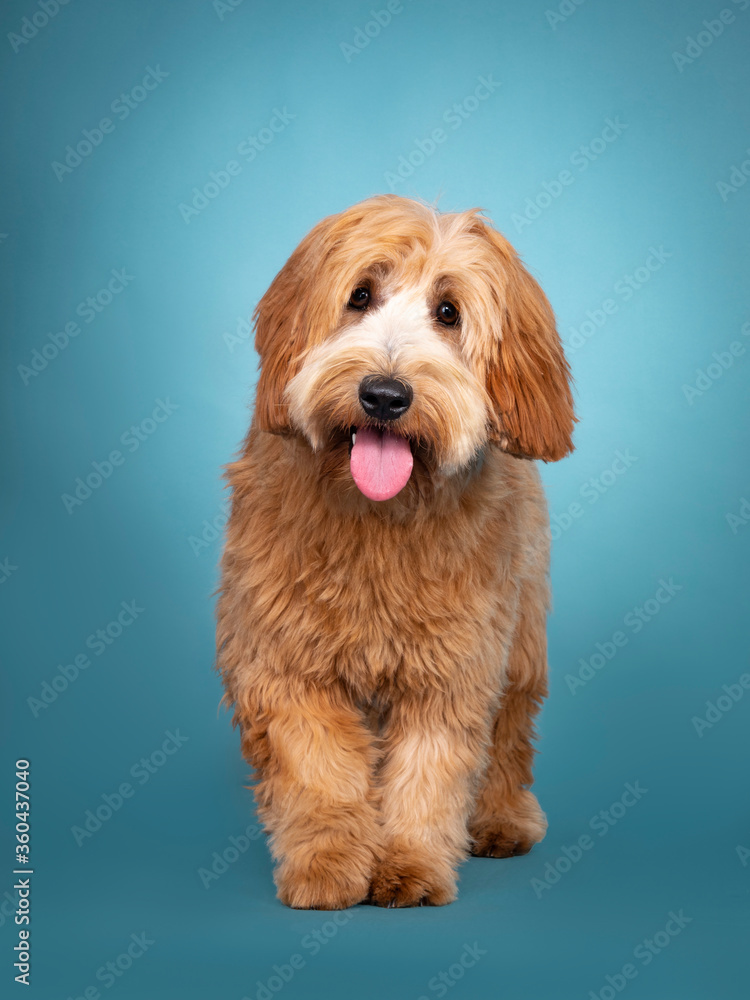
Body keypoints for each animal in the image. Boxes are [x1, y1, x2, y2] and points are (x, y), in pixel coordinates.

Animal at [216, 193, 576, 908]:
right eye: (359, 295)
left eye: (449, 312)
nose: (384, 394)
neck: (381, 515)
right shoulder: (286, 662)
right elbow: (318, 768)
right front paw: (328, 865)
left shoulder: (452, 669)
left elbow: (427, 774)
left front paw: (409, 863)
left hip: (523, 639)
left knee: (511, 731)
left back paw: (502, 820)